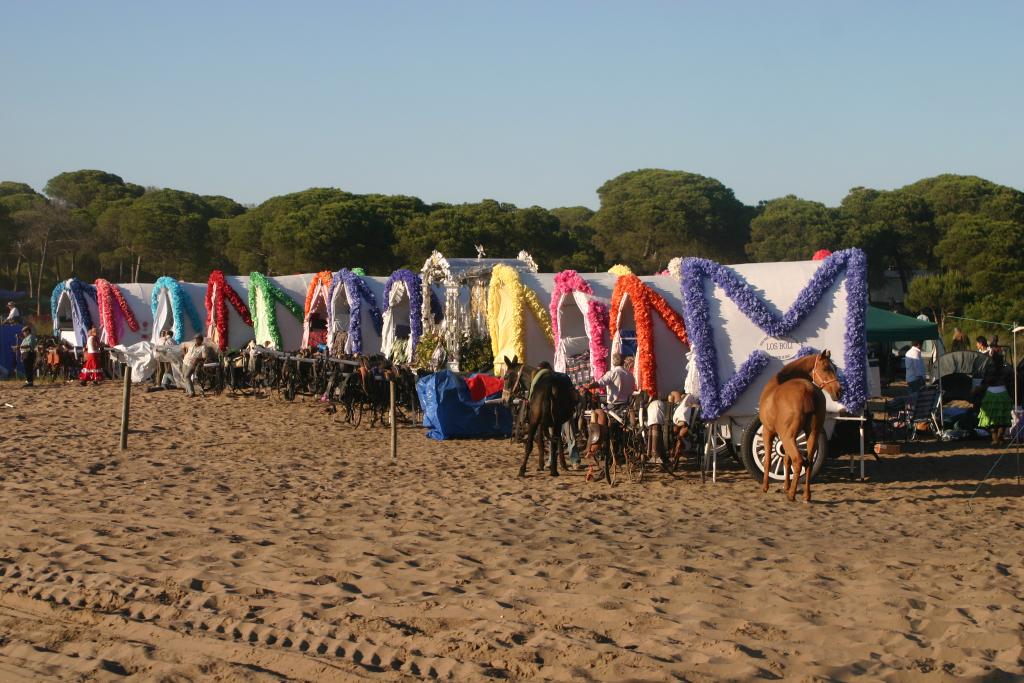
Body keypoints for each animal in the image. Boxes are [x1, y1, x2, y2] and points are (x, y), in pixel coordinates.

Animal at [761, 352, 839, 501]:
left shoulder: (768, 431)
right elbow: (786, 460)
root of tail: (808, 390)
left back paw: (792, 494)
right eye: (826, 368)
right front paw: (786, 486)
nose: (839, 391)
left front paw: (765, 487)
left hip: (787, 437)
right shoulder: (789, 437)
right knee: (808, 462)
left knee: (798, 461)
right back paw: (806, 495)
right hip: (811, 434)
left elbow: (768, 460)